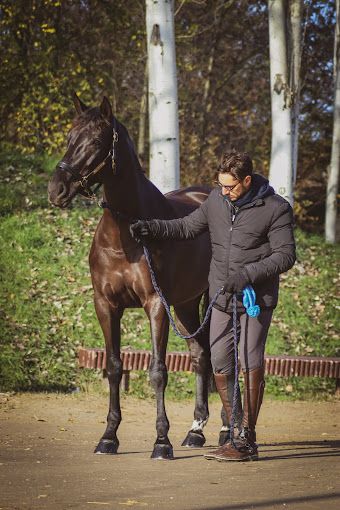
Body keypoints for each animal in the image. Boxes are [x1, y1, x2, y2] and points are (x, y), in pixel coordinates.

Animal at [48, 94, 220, 458]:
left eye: (96, 142)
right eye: (69, 136)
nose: (56, 190)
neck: (126, 234)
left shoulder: (156, 305)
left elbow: (157, 371)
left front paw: (161, 442)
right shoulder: (106, 305)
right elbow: (114, 368)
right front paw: (108, 437)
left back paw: (227, 431)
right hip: (185, 307)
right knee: (201, 357)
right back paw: (195, 431)